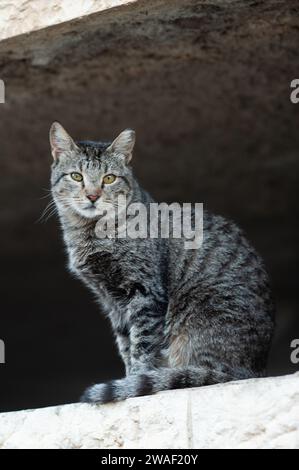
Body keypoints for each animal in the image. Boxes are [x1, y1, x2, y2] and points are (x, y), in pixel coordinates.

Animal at [49, 122, 276, 404]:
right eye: (76, 176)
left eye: (109, 178)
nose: (92, 195)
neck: (91, 233)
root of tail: (252, 371)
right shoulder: (112, 302)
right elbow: (126, 345)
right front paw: (129, 379)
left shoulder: (145, 292)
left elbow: (143, 345)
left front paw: (135, 381)